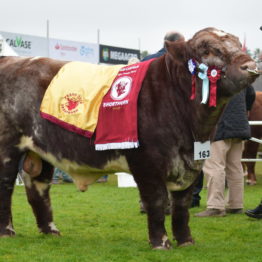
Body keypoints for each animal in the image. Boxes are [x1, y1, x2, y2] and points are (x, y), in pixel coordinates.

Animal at [0, 27, 258, 249]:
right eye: (207, 50)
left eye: (237, 44)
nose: (251, 65)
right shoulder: (146, 162)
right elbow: (156, 201)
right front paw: (160, 243)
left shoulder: (193, 162)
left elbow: (182, 206)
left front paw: (186, 241)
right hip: (7, 147)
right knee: (6, 186)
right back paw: (7, 231)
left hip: (40, 149)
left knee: (38, 187)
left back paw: (50, 231)